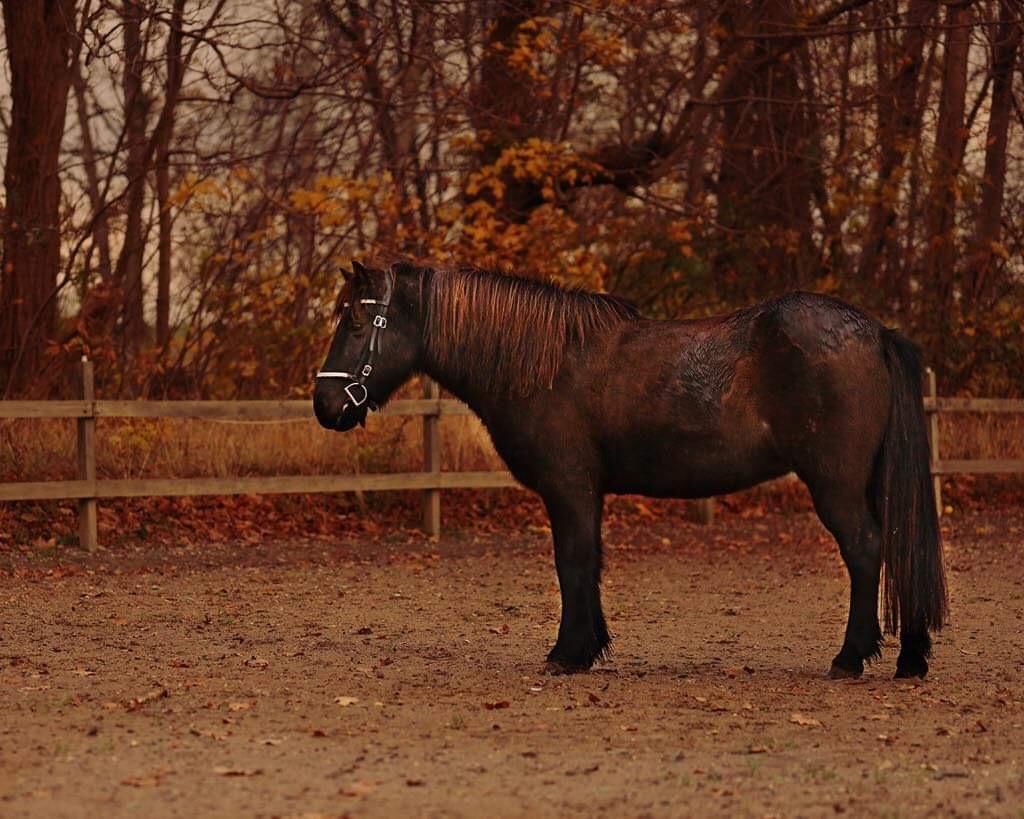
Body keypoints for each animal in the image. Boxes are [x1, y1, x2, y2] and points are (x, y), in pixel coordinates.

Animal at [315, 261, 946, 679]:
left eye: (355, 324)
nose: (325, 406)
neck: (545, 361)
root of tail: (874, 332)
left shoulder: (568, 487)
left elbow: (572, 562)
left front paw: (567, 654)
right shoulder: (586, 492)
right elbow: (589, 563)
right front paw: (589, 648)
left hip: (836, 485)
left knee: (866, 549)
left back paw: (850, 657)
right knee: (899, 547)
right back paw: (911, 657)